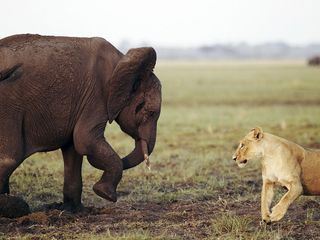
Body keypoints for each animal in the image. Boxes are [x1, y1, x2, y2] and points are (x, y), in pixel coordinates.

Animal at [0, 33, 161, 210]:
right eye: (150, 113)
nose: (149, 168)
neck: (121, 61)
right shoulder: (96, 96)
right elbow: (85, 140)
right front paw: (105, 194)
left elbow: (74, 149)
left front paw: (74, 210)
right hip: (9, 106)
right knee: (10, 158)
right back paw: (16, 207)